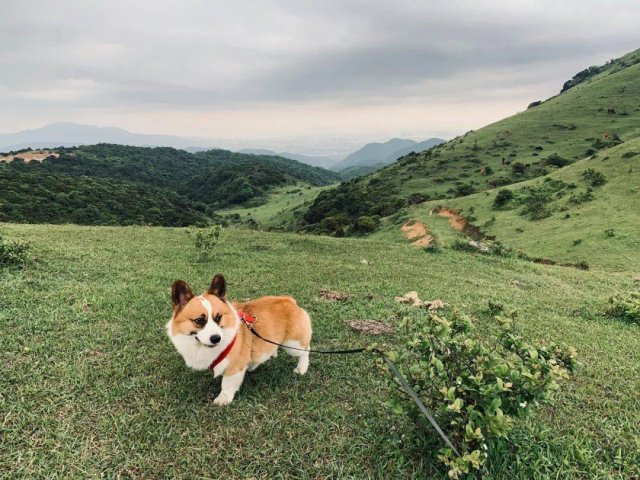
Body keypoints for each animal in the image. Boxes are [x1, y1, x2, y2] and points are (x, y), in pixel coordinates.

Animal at [168, 274, 312, 404]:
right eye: (199, 320)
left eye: (218, 317)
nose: (216, 338)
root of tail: (289, 300)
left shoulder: (234, 366)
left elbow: (227, 384)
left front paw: (223, 399)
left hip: (292, 345)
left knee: (306, 350)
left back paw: (301, 369)